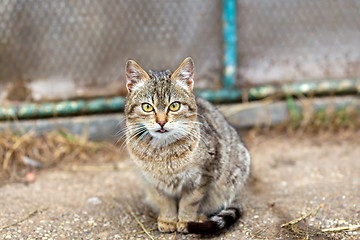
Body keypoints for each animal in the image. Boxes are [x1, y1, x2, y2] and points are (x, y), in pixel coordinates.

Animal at [124, 56, 250, 234]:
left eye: (174, 105)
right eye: (147, 107)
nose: (161, 122)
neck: (163, 151)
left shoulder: (204, 174)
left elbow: (190, 201)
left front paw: (186, 220)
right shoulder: (153, 181)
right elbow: (165, 201)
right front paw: (168, 220)